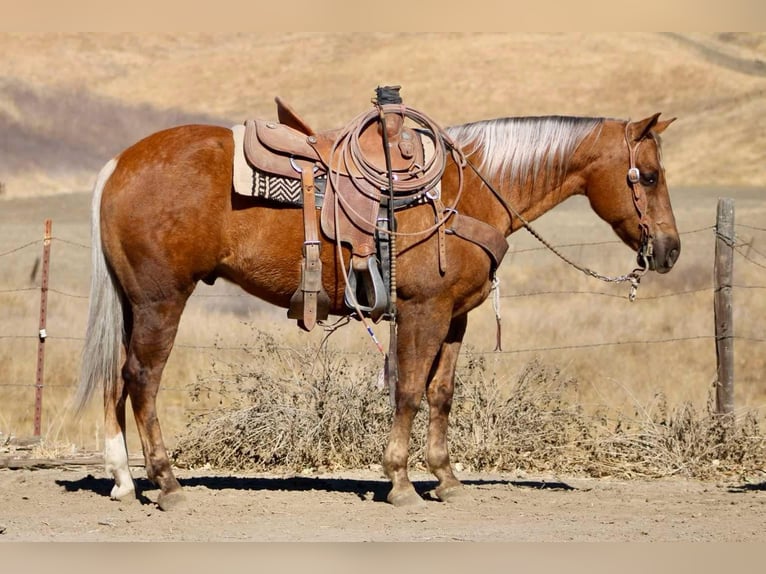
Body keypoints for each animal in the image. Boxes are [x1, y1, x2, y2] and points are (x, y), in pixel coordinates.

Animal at [73, 108, 680, 510]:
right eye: (648, 176)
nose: (669, 251)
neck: (467, 191)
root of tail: (119, 163)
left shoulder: (455, 316)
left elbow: (441, 393)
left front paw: (447, 479)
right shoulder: (422, 312)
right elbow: (408, 390)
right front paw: (402, 482)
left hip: (134, 305)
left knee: (117, 378)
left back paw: (123, 481)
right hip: (162, 302)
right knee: (143, 379)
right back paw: (167, 484)